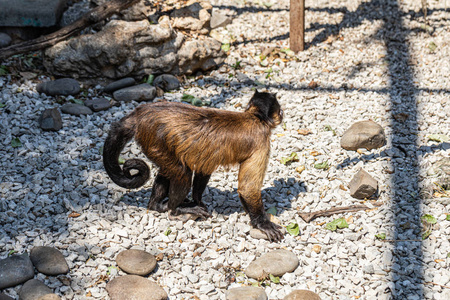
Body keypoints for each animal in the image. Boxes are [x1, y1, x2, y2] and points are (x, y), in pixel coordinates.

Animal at [103, 91, 284, 241]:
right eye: (280, 111)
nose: (282, 115)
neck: (255, 117)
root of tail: (142, 112)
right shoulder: (262, 140)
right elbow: (247, 188)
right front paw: (262, 223)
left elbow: (205, 168)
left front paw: (197, 200)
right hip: (155, 138)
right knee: (182, 172)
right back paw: (175, 208)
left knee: (168, 170)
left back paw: (156, 205)